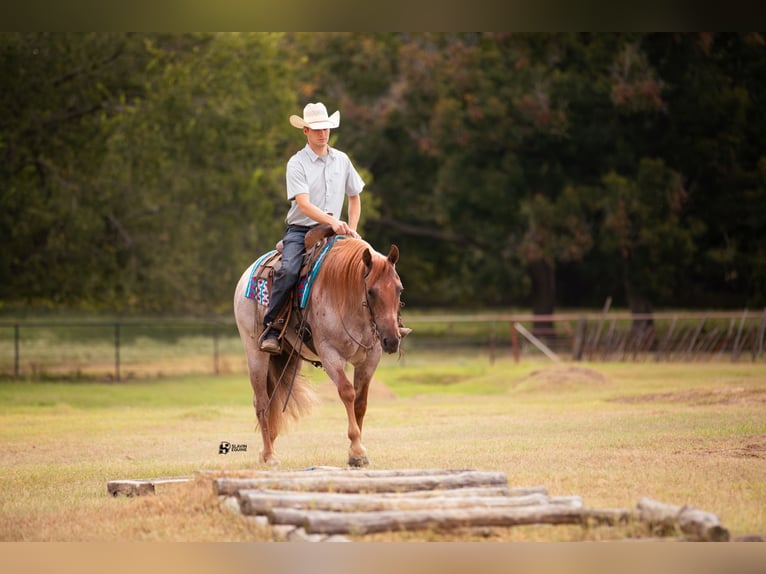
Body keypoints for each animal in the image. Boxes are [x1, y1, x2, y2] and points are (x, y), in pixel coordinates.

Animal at [232, 237, 408, 468]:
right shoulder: (330, 354)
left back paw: (265, 451)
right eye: (371, 291)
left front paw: (356, 452)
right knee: (261, 401)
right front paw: (357, 450)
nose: (392, 340)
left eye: (399, 289)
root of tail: (246, 277)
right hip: (255, 352)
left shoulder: (370, 359)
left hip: (288, 356)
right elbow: (347, 392)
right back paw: (270, 456)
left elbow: (361, 402)